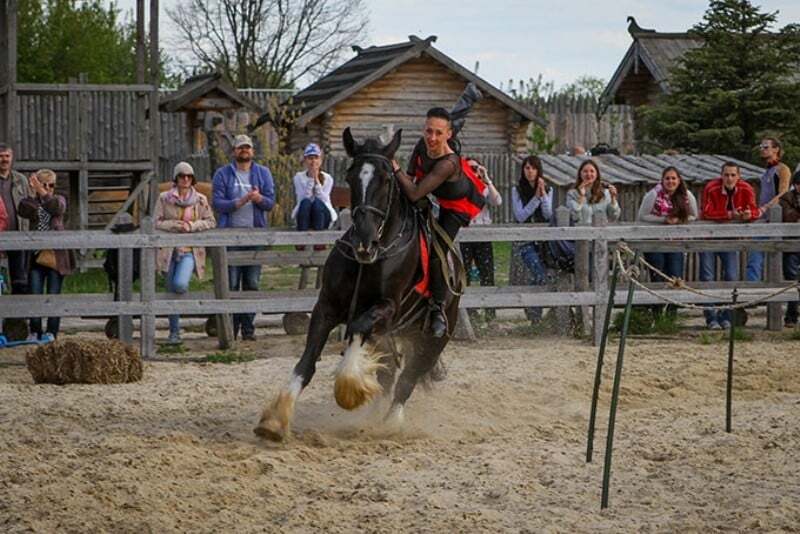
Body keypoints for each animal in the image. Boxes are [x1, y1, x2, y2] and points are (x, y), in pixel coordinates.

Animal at [253, 127, 460, 442]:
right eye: (350, 177)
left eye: (386, 179)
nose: (365, 241)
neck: (370, 261)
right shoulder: (326, 306)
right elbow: (307, 363)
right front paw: (275, 420)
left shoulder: (385, 309)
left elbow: (357, 330)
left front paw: (349, 388)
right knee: (389, 376)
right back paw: (372, 417)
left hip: (434, 340)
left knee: (406, 381)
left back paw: (390, 424)